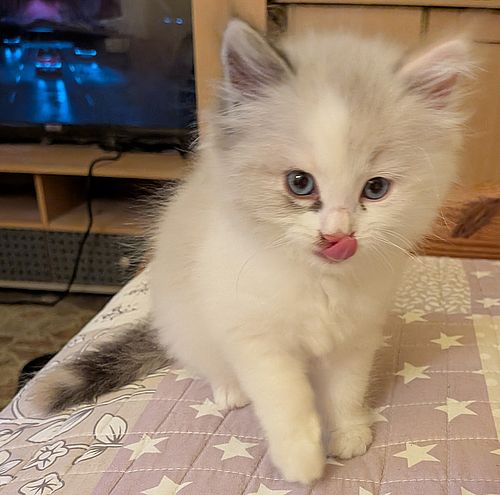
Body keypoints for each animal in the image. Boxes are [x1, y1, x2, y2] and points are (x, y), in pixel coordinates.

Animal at [30, 19, 473, 484]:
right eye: (299, 183)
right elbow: (286, 401)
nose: (336, 236)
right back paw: (230, 390)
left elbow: (345, 390)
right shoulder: (257, 338)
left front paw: (348, 433)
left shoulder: (355, 336)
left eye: (376, 188)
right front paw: (302, 460)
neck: (319, 281)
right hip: (187, 320)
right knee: (208, 362)